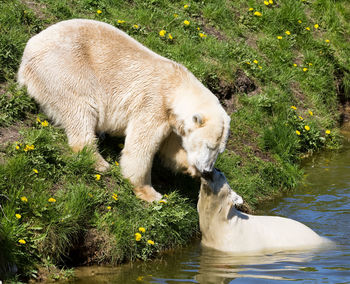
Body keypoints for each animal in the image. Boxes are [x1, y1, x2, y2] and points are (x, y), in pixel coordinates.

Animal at [17, 18, 230, 202]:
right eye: (208, 146)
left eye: (219, 151)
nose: (207, 170)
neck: (176, 87)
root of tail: (29, 50)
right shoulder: (153, 104)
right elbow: (141, 147)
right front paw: (150, 193)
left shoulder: (171, 121)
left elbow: (171, 149)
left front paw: (191, 168)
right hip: (65, 66)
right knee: (81, 107)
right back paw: (98, 161)